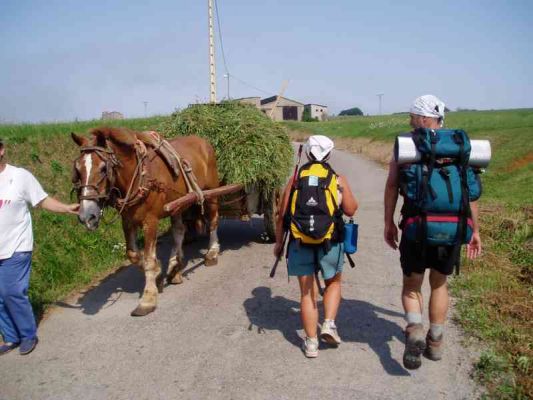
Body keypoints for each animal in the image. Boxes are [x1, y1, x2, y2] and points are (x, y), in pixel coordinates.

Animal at [71, 127, 219, 316]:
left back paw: (212, 253)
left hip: (211, 193)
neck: (138, 176)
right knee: (179, 231)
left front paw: (148, 299)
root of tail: (202, 141)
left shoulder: (151, 221)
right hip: (177, 204)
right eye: (77, 169)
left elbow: (148, 259)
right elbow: (133, 255)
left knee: (213, 220)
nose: (87, 216)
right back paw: (174, 266)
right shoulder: (127, 221)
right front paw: (159, 272)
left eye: (104, 168)